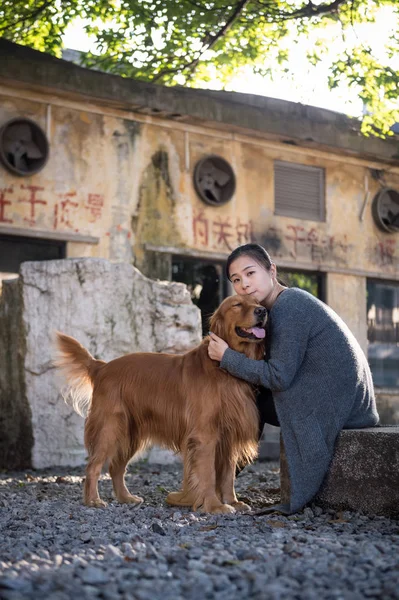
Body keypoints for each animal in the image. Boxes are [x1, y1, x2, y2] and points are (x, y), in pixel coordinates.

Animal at [54, 292, 268, 512]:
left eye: (257, 303)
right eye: (237, 304)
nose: (262, 311)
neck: (222, 367)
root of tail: (102, 367)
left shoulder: (229, 436)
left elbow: (227, 476)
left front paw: (232, 502)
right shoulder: (205, 435)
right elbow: (208, 474)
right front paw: (215, 506)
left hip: (131, 434)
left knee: (116, 467)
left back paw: (126, 497)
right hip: (110, 428)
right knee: (93, 466)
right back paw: (93, 500)